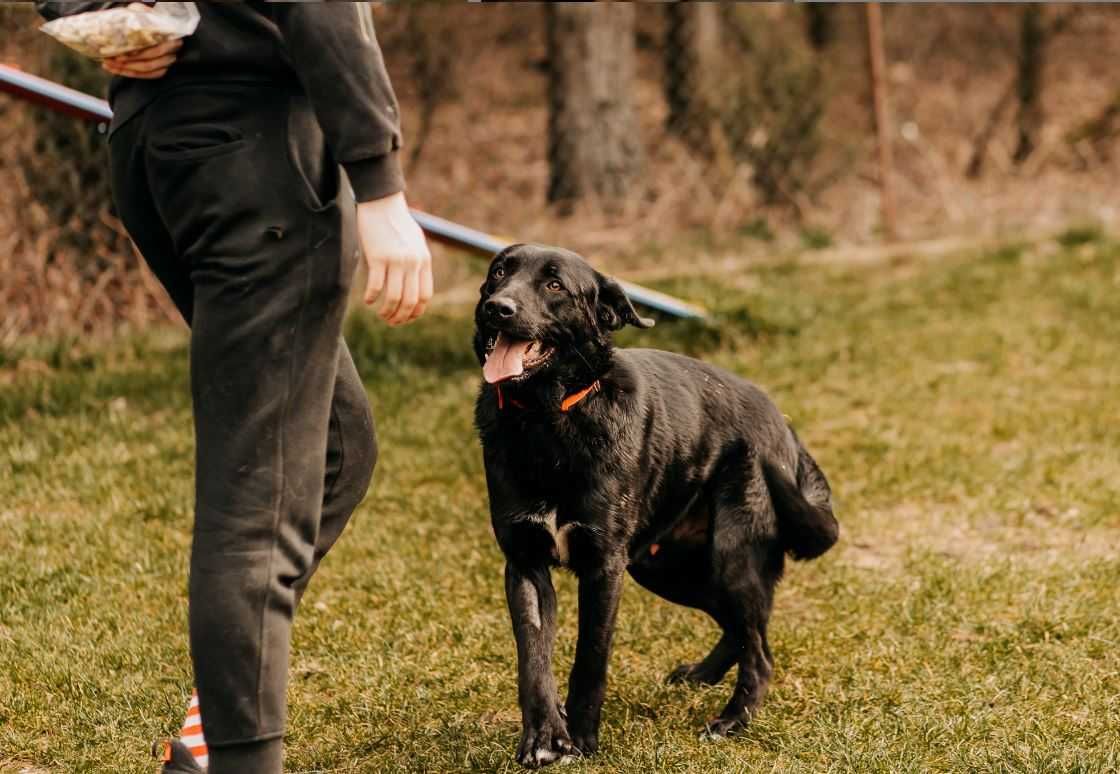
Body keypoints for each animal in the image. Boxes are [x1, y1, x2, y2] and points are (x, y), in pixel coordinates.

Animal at [474, 245, 842, 766]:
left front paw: (581, 741)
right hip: (666, 567)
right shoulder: (524, 562)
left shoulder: (603, 568)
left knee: (760, 650)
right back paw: (703, 675)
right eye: (499, 273)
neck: (548, 422)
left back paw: (732, 720)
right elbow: (533, 658)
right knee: (740, 629)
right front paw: (543, 739)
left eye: (554, 285)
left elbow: (590, 660)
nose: (497, 308)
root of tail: (783, 423)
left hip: (729, 558)